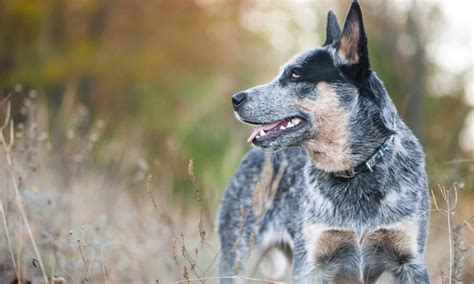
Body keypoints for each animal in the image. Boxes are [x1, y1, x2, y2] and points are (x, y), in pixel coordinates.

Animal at [217, 1, 432, 282]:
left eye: (295, 74)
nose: (235, 99)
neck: (354, 171)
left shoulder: (409, 261)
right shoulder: (311, 263)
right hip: (241, 256)